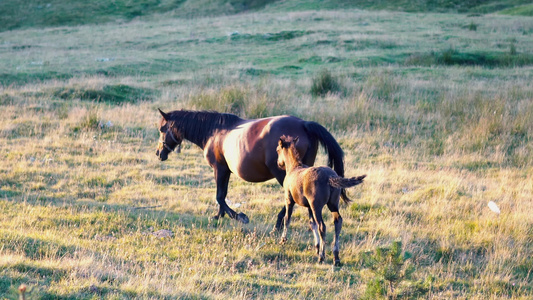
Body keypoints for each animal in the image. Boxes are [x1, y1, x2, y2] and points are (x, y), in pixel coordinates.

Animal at [155, 109, 344, 227]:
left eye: (162, 129)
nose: (158, 153)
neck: (214, 132)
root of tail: (304, 124)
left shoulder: (219, 168)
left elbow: (219, 197)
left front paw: (239, 217)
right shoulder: (225, 171)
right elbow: (222, 194)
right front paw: (219, 216)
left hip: (284, 174)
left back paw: (278, 224)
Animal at [274, 135, 366, 264]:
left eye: (277, 150)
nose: (278, 163)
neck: (294, 168)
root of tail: (330, 177)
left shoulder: (289, 200)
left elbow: (287, 219)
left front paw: (283, 240)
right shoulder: (308, 206)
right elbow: (312, 223)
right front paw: (317, 247)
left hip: (316, 206)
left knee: (322, 226)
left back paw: (322, 257)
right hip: (333, 204)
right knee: (338, 221)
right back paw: (336, 257)